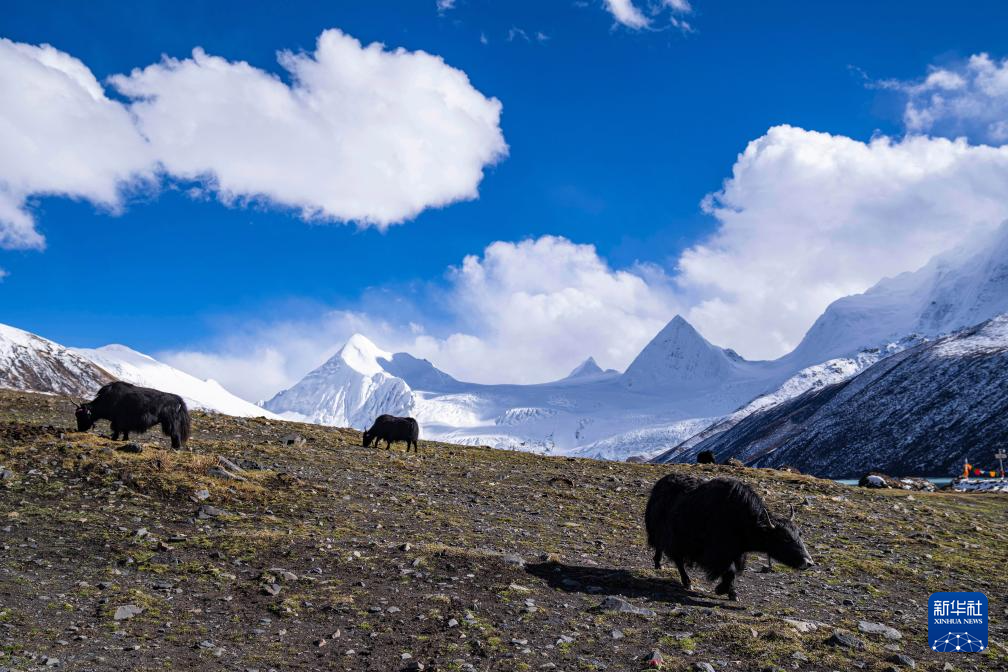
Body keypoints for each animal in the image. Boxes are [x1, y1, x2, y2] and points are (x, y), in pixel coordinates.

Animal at [645, 473, 813, 600]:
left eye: (800, 534)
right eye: (784, 538)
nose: (809, 562)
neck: (742, 520)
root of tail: (660, 484)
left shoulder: (737, 553)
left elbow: (733, 572)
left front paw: (731, 593)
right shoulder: (716, 553)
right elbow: (730, 571)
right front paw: (722, 590)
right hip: (672, 537)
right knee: (676, 558)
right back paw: (685, 581)